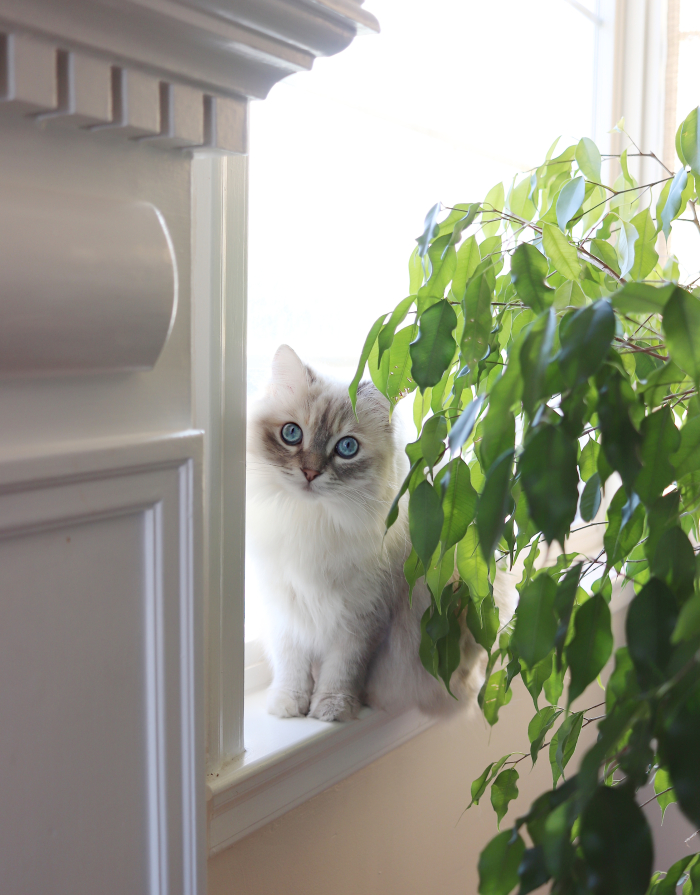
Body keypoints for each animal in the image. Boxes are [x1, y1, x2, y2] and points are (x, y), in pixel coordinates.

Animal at [247, 346, 516, 724]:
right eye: (291, 434)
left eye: (346, 448)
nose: (310, 473)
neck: (313, 522)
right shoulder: (285, 608)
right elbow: (291, 667)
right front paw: (289, 705)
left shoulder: (362, 617)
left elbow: (341, 671)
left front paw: (330, 710)